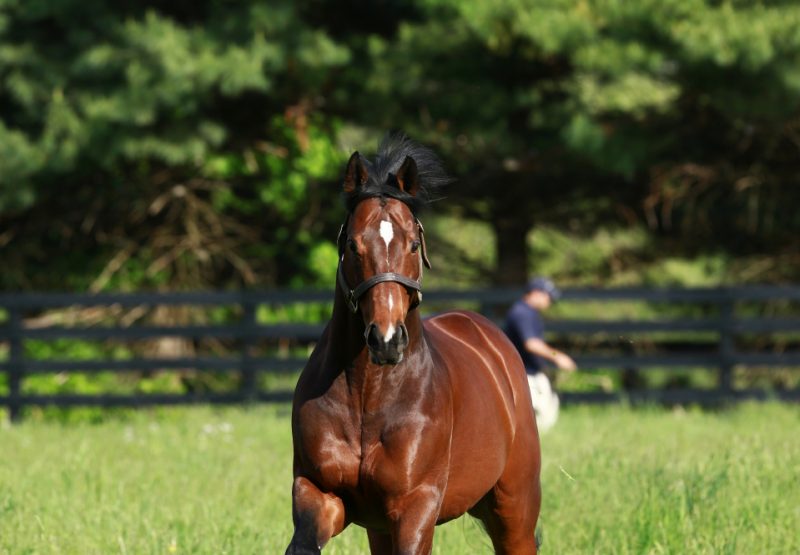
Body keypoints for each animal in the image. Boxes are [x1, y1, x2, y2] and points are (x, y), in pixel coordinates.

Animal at [284, 136, 540, 555]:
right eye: (353, 244)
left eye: (413, 244)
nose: (386, 340)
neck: (368, 397)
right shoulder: (320, 493)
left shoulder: (416, 505)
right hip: (380, 528)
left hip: (514, 507)